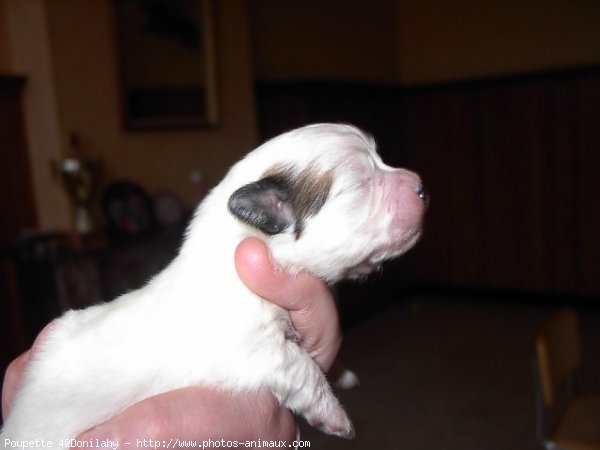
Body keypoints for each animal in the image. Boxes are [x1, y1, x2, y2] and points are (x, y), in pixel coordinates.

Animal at [0, 122, 426, 442]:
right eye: (360, 184)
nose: (421, 184)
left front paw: (342, 373)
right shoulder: (256, 348)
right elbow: (301, 367)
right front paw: (336, 416)